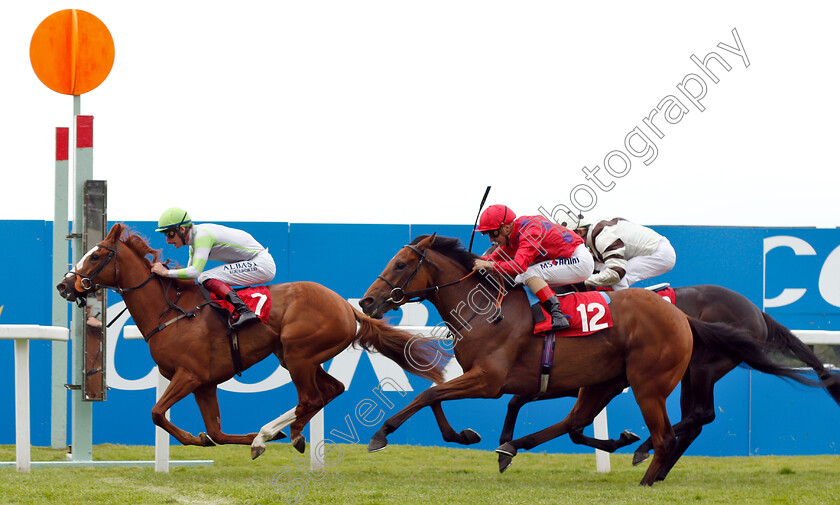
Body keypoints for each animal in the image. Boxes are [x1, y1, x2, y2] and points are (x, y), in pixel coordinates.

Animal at [55, 222, 450, 458]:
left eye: (98, 254)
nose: (63, 285)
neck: (171, 312)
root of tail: (348, 306)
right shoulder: (204, 384)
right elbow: (216, 431)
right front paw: (216, 438)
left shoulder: (189, 376)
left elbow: (156, 413)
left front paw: (202, 439)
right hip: (297, 356)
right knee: (331, 390)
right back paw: (278, 433)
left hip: (298, 353)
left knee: (310, 398)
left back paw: (281, 433)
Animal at [498, 286, 840, 474]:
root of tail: (758, 313)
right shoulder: (568, 383)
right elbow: (524, 403)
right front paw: (505, 447)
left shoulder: (580, 383)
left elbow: (571, 426)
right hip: (690, 373)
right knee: (695, 420)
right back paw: (657, 468)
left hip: (702, 365)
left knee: (701, 414)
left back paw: (648, 452)